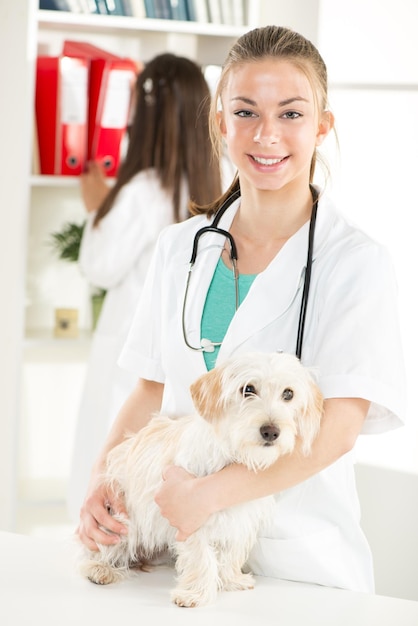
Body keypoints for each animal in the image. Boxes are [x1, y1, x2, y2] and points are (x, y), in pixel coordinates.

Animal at [81, 352, 324, 604]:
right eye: (247, 389)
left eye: (288, 394)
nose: (271, 431)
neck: (232, 455)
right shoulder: (189, 515)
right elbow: (201, 556)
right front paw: (195, 593)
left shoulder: (239, 519)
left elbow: (231, 552)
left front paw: (231, 579)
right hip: (120, 523)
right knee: (100, 550)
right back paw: (100, 569)